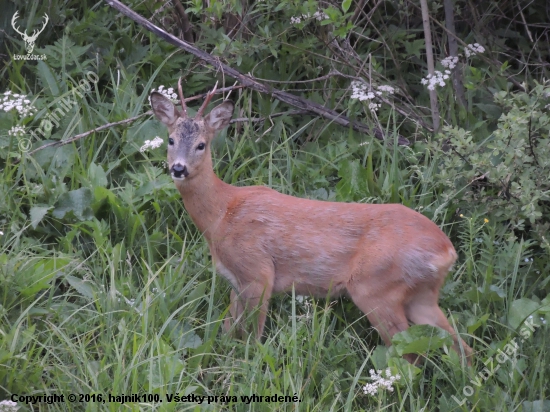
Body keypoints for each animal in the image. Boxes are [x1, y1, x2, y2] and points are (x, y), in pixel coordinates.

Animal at [150, 80, 474, 364]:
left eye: (202, 145)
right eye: (171, 139)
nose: (178, 168)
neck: (222, 215)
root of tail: (446, 251)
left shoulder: (258, 273)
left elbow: (252, 339)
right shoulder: (235, 281)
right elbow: (229, 332)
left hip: (376, 288)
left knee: (409, 353)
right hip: (421, 295)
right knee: (460, 347)